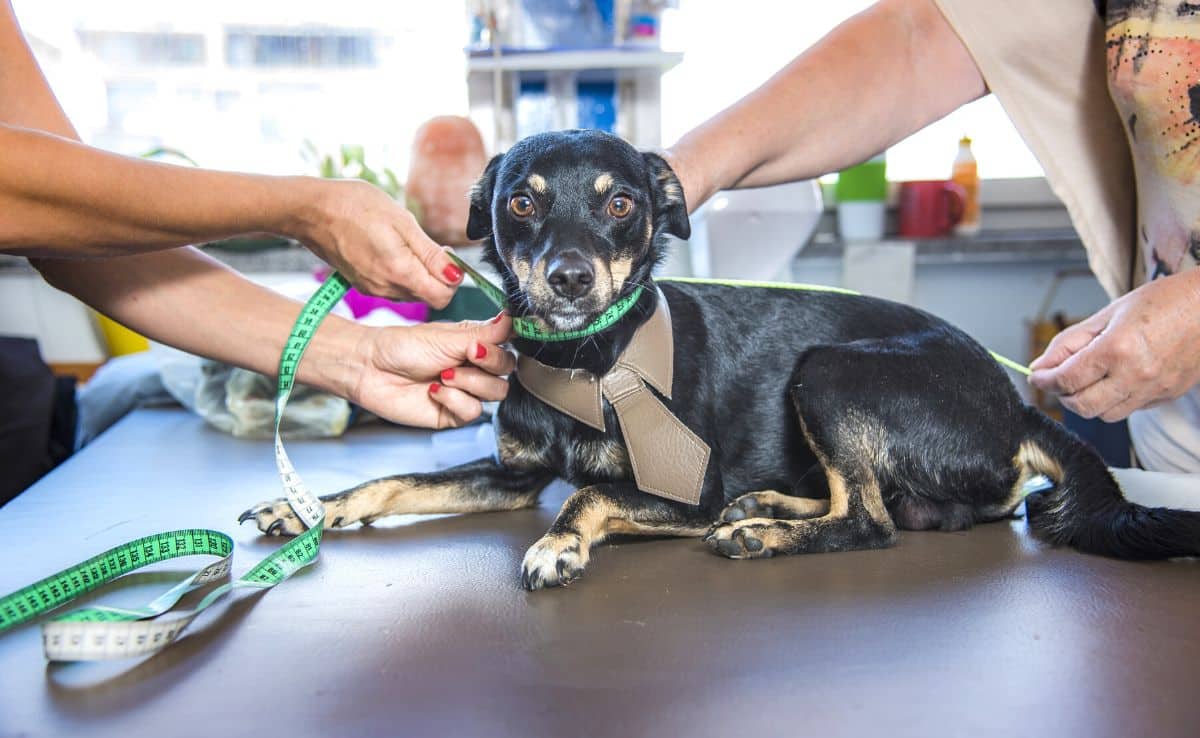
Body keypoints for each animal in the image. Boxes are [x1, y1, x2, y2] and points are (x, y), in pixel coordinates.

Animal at [241, 127, 1200, 588]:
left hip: (831, 368)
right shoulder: (511, 476)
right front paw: (307, 508)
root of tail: (1018, 402)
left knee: (871, 521)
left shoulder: (680, 488)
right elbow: (389, 481)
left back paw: (761, 533)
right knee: (893, 504)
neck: (590, 358)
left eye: (621, 203)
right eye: (520, 201)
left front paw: (559, 548)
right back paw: (769, 503)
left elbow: (589, 492)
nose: (570, 277)